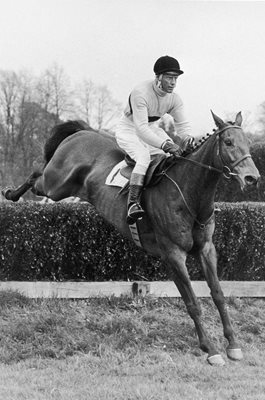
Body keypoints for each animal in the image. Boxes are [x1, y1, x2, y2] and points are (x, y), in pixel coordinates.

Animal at [2, 110, 258, 366]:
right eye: (228, 142)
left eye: (248, 143)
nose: (252, 177)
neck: (189, 194)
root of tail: (83, 131)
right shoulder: (173, 255)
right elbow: (193, 303)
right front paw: (210, 349)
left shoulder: (206, 249)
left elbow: (218, 295)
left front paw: (233, 344)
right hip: (55, 185)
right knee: (35, 175)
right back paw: (10, 193)